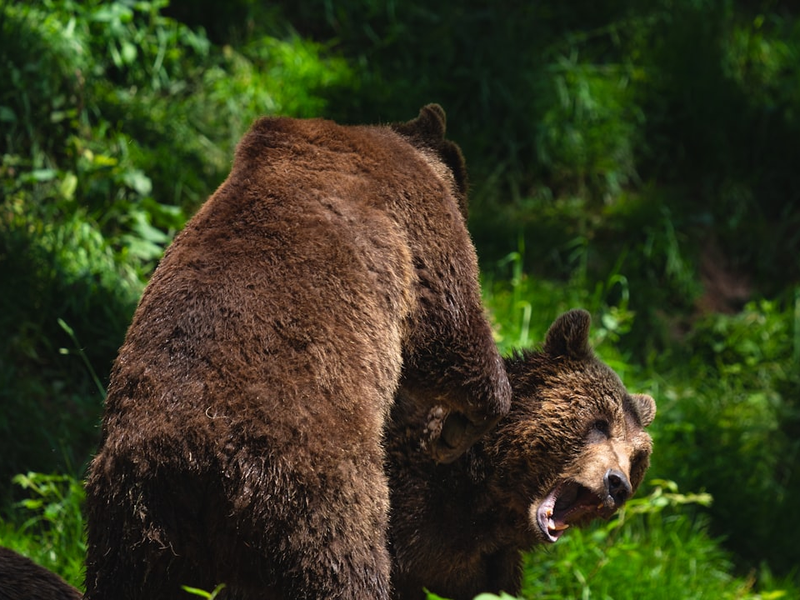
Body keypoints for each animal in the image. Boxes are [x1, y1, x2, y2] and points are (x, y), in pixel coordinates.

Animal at [83, 105, 511, 600]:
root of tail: (194, 465)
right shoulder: (417, 232)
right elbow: (452, 329)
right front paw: (462, 426)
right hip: (311, 504)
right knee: (346, 569)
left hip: (136, 531)